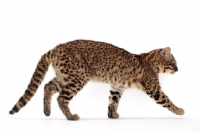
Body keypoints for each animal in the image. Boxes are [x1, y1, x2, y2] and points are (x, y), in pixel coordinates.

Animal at [9, 39, 184, 120]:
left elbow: (113, 102)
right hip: (77, 78)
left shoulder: (116, 87)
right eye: (174, 63)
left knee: (47, 86)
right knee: (61, 98)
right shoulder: (154, 89)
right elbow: (167, 101)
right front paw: (179, 110)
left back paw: (47, 111)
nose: (178, 70)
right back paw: (71, 117)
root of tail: (57, 47)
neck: (151, 61)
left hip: (64, 77)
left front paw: (112, 115)